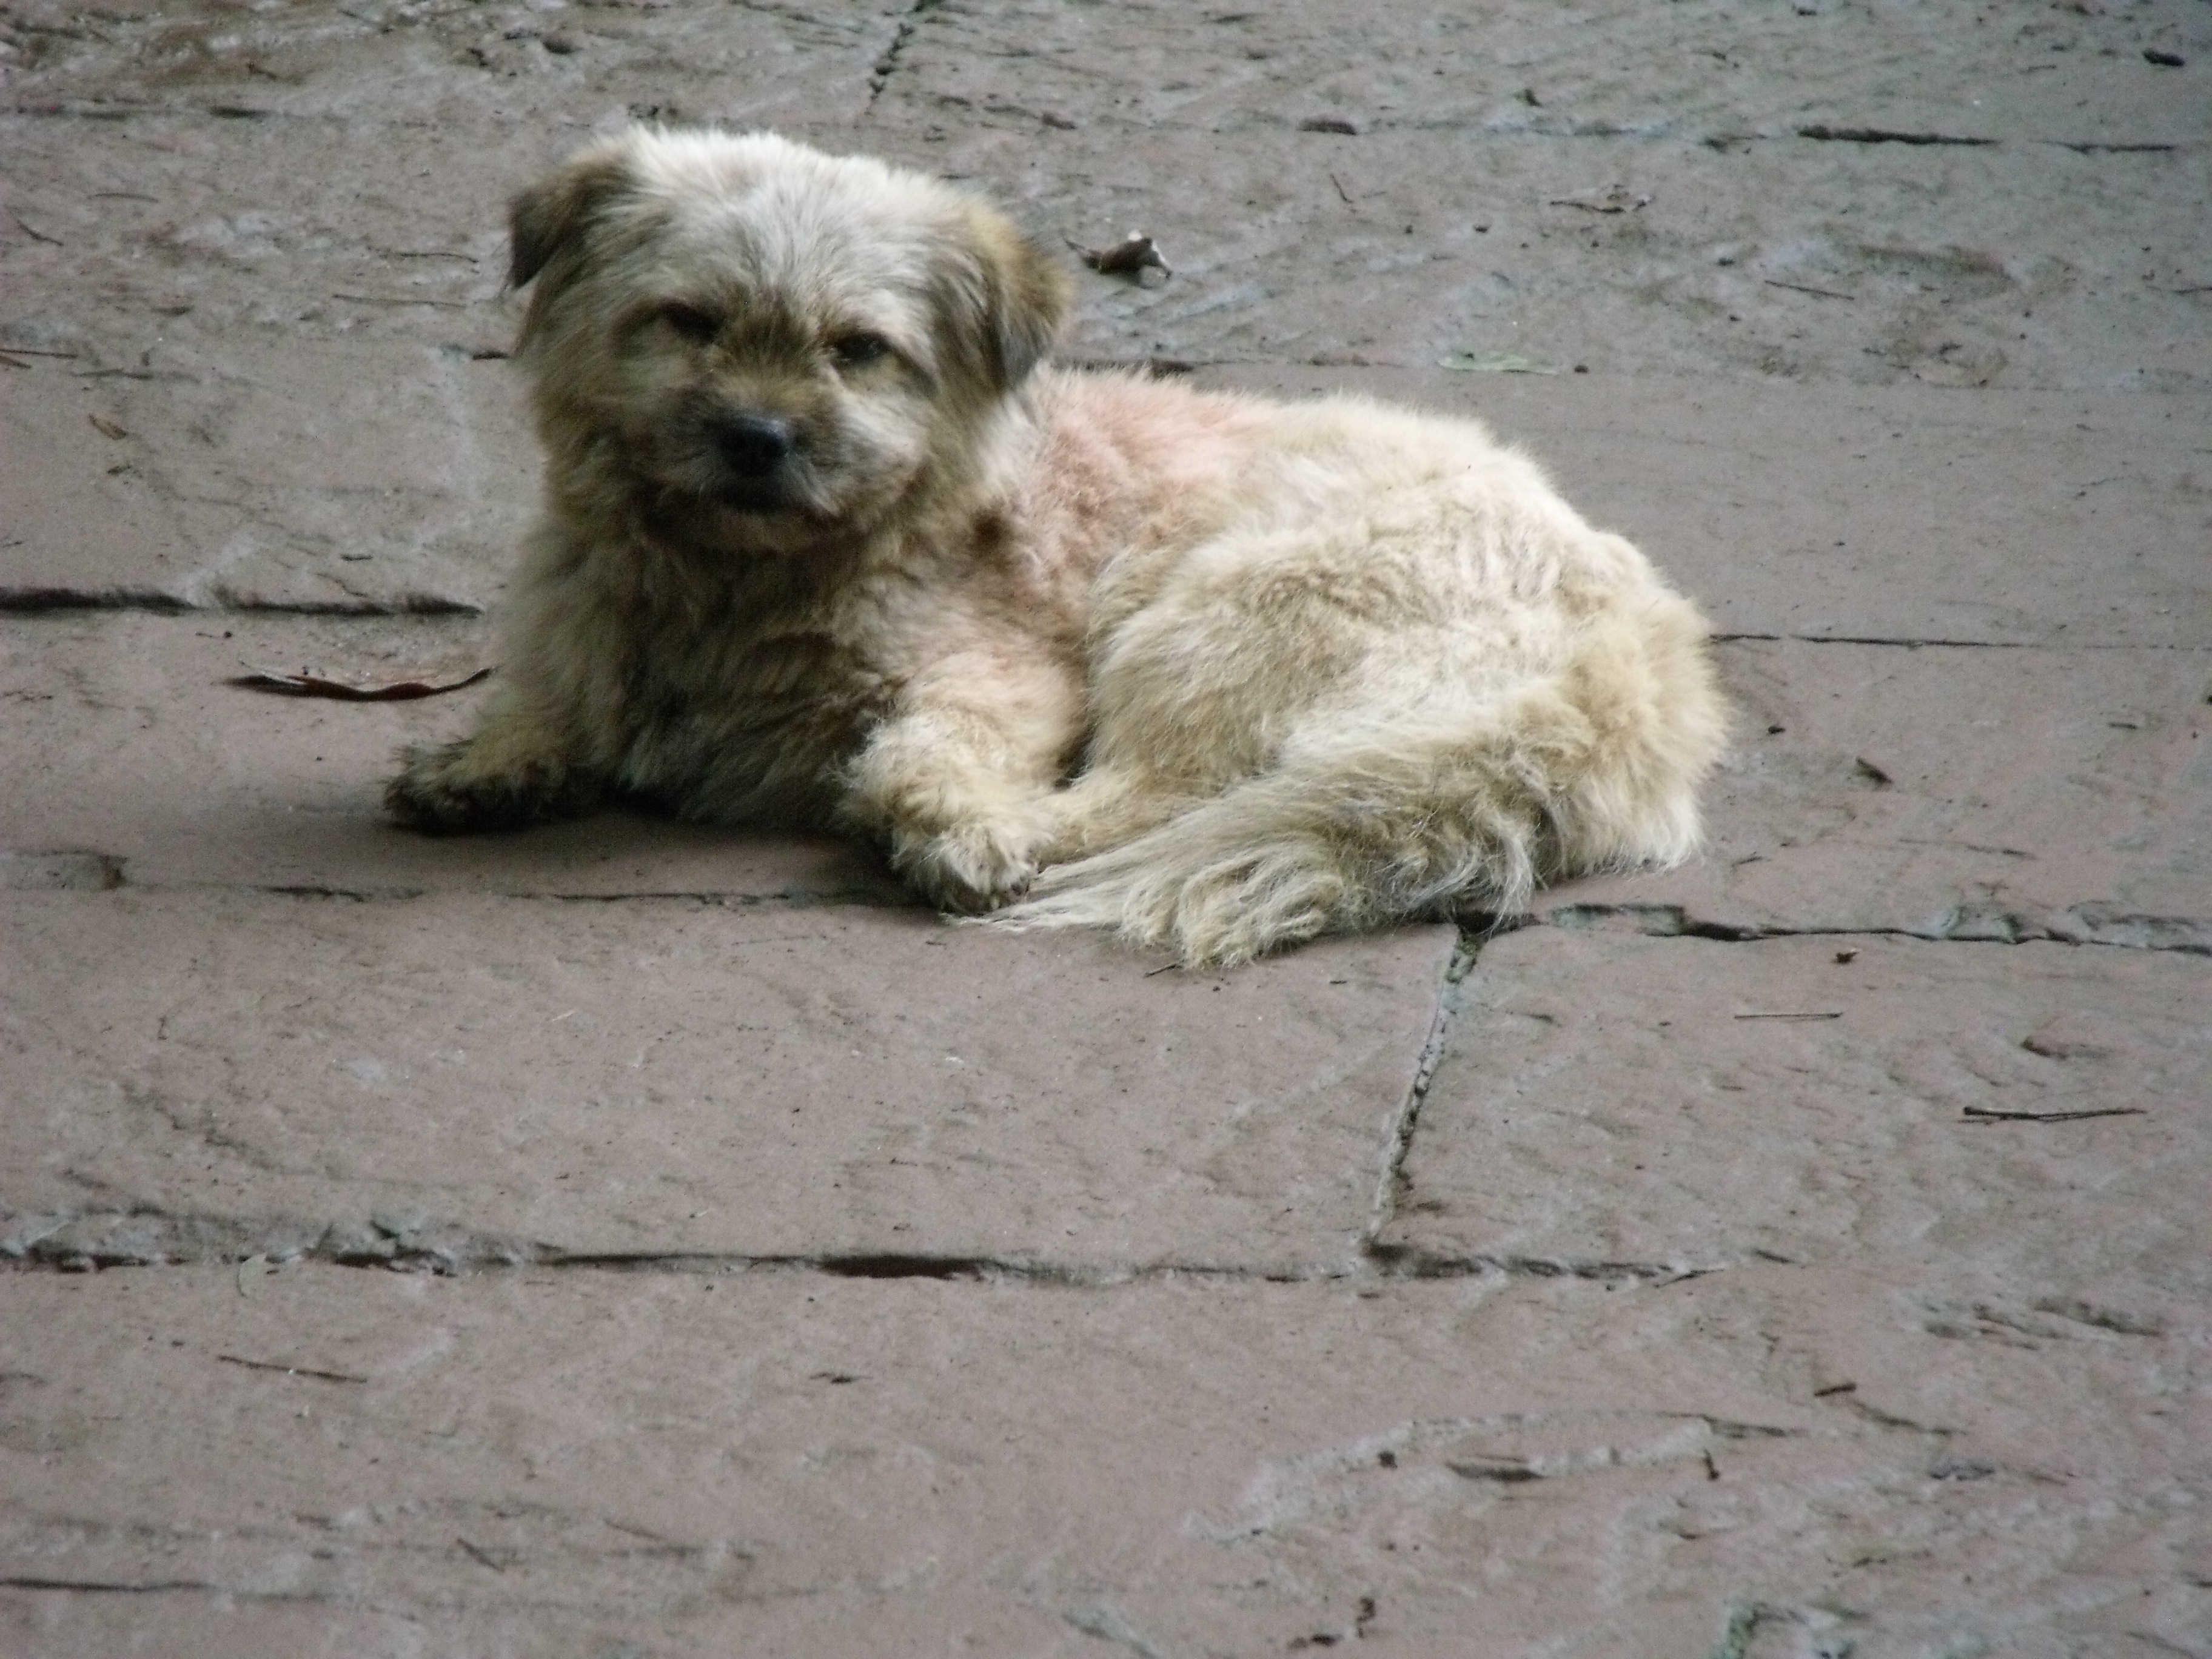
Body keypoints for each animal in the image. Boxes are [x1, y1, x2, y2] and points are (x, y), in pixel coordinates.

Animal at [387, 128, 1727, 965]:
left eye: (857, 351)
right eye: (688, 323)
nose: (756, 439)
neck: (738, 581)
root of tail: (1635, 676)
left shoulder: (1001, 674)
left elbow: (927, 746)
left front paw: (950, 817)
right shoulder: (581, 622)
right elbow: (553, 700)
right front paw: (491, 759)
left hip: (1214, 616)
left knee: (1158, 799)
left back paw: (986, 838)